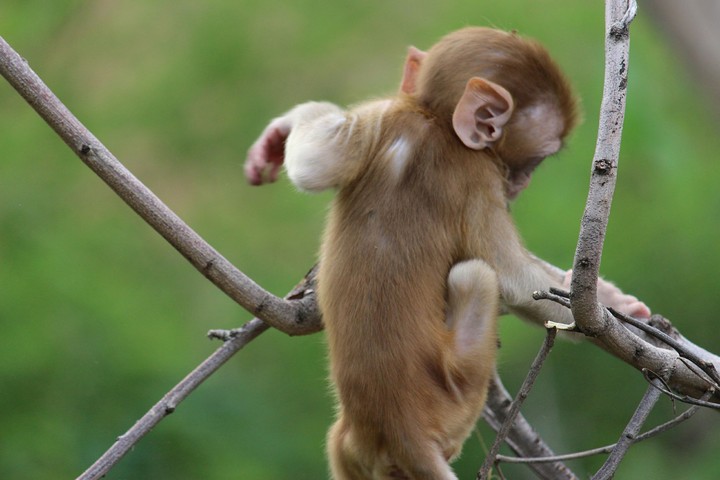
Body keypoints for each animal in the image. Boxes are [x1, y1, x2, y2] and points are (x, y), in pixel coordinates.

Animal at [245, 27, 650, 479]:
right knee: (475, 273)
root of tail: (402, 433)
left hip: (347, 449)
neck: (436, 122)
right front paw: (608, 311)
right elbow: (514, 279)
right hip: (459, 393)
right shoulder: (479, 179)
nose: (521, 185)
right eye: (538, 159)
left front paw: (279, 134)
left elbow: (314, 164)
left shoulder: (380, 117)